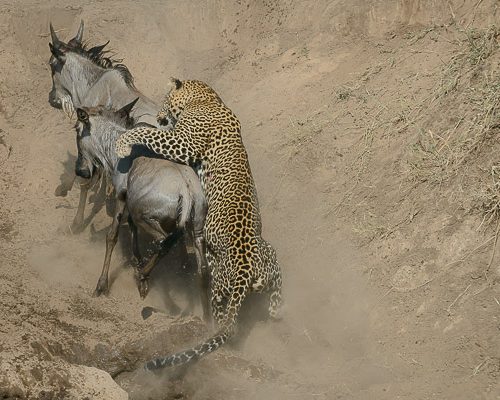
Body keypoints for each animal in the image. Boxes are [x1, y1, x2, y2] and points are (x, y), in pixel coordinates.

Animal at [114, 78, 284, 368]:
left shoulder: (183, 142)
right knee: (277, 289)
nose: (160, 116)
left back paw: (213, 329)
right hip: (269, 260)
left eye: (164, 99)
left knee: (223, 315)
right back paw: (276, 310)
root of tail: (247, 271)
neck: (207, 99)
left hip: (220, 281)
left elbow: (148, 134)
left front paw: (123, 143)